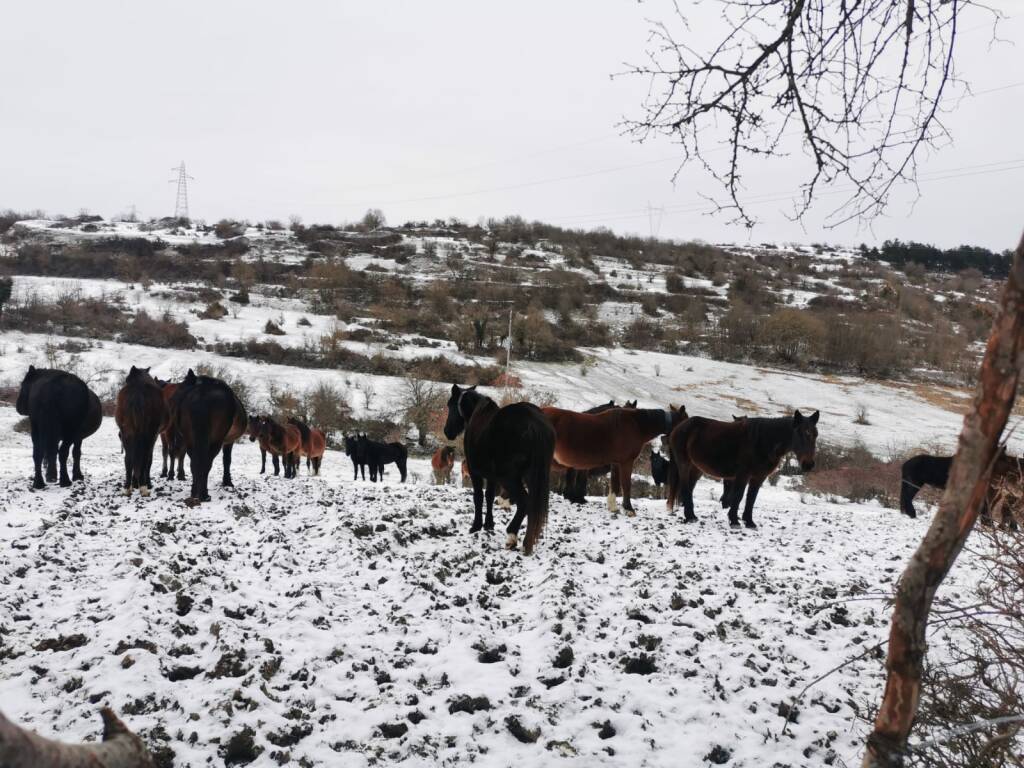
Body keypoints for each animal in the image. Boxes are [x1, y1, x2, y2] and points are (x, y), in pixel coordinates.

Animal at [114, 368, 165, 499]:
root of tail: (139, 389)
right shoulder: (153, 436)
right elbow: (147, 460)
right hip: (148, 435)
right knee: (145, 458)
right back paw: (143, 487)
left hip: (127, 434)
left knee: (129, 459)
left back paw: (128, 488)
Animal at [168, 370, 248, 507]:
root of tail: (202, 394)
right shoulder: (228, 441)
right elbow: (227, 460)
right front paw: (227, 482)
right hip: (216, 440)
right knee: (206, 463)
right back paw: (204, 494)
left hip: (190, 439)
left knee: (195, 462)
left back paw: (195, 493)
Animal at [444, 387, 557, 557]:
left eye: (450, 404)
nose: (447, 431)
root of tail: (535, 424)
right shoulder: (492, 477)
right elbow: (490, 496)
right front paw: (489, 524)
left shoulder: (475, 473)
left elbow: (478, 497)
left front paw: (476, 526)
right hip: (532, 477)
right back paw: (527, 543)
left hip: (510, 478)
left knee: (525, 502)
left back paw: (512, 537)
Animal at [544, 403, 688, 518]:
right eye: (687, 421)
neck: (636, 424)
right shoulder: (626, 462)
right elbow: (626, 485)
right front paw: (629, 509)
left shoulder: (615, 463)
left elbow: (615, 484)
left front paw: (613, 508)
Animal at [667, 415, 819, 528]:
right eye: (801, 433)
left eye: (815, 434)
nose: (809, 464)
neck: (763, 441)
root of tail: (679, 427)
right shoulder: (743, 475)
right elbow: (738, 496)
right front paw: (734, 520)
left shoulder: (758, 477)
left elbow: (751, 498)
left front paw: (749, 522)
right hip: (684, 465)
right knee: (685, 488)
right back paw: (689, 517)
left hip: (696, 469)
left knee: (689, 488)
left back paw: (692, 515)